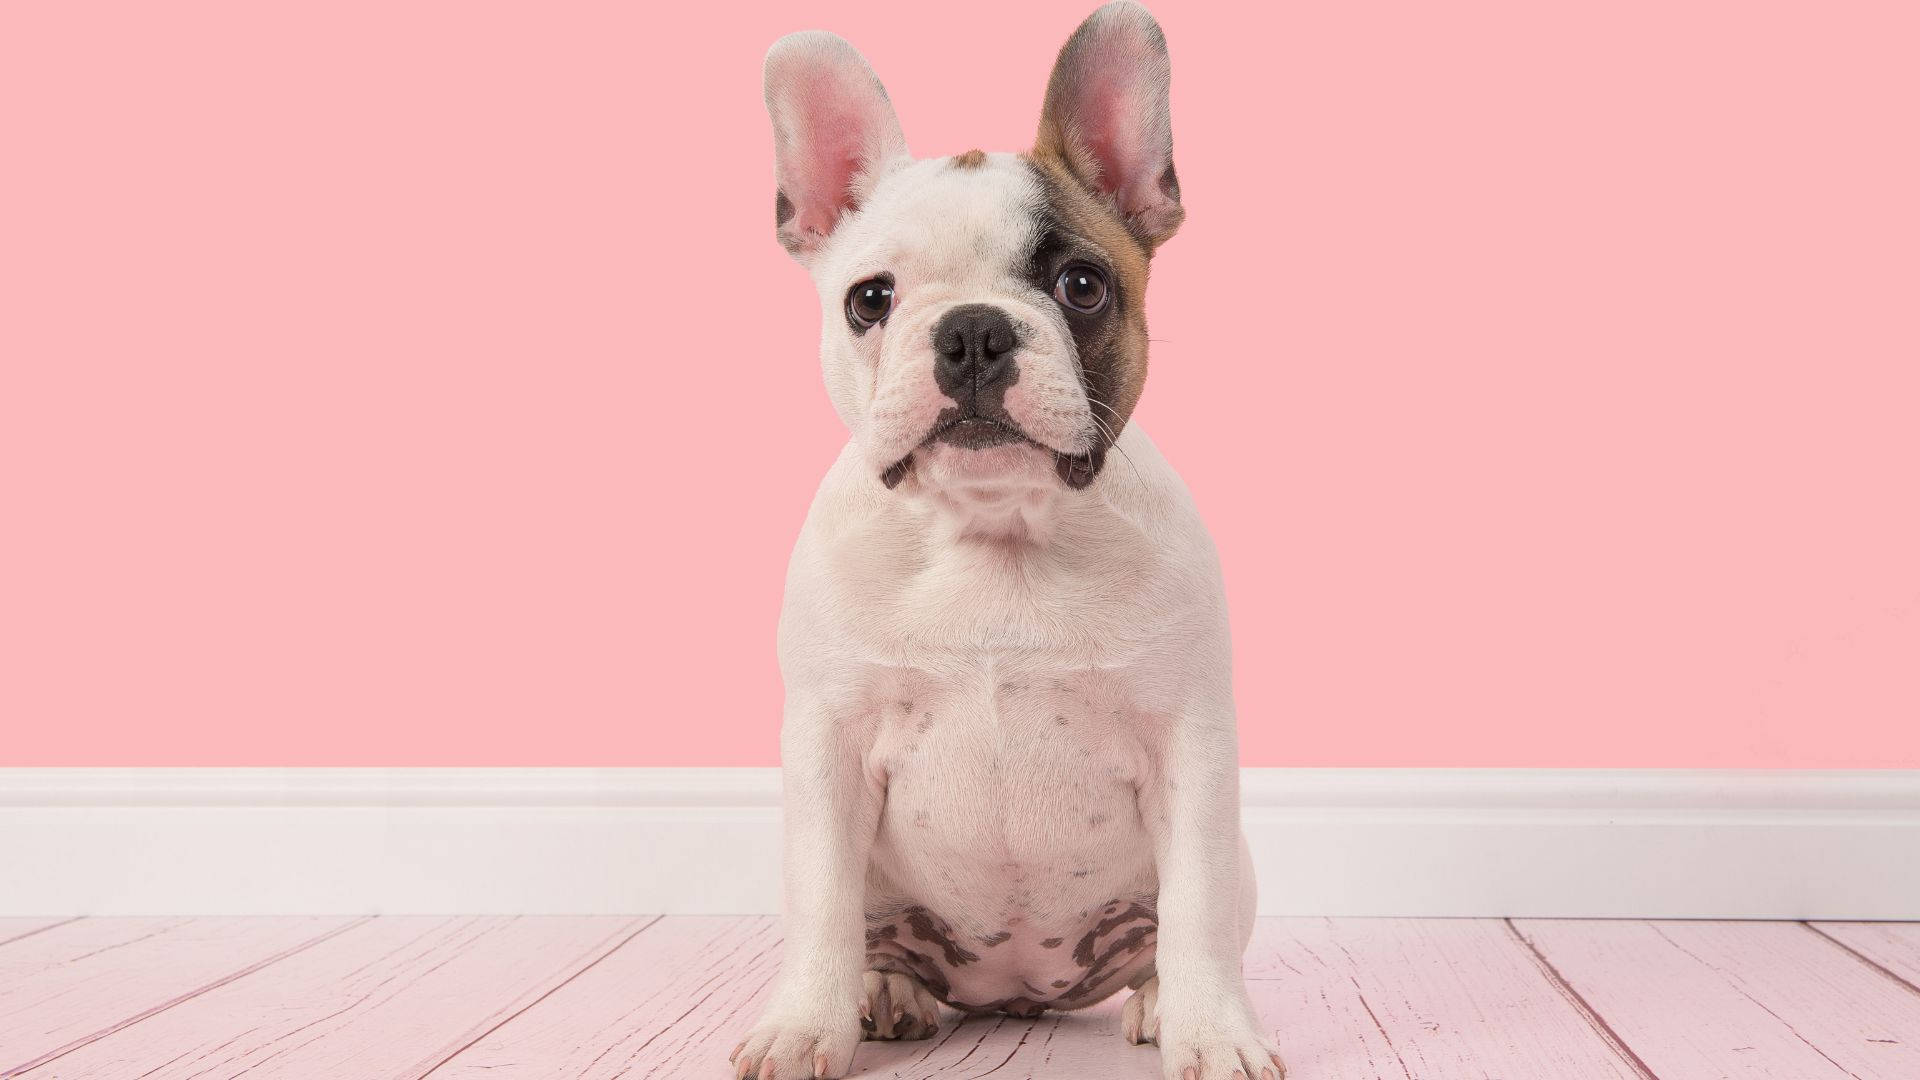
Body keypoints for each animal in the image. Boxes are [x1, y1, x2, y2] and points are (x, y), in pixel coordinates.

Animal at [725, 4, 1282, 1068]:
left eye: (1082, 285)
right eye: (870, 300)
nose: (974, 331)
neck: (996, 535)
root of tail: (1015, 996)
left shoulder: (1189, 747)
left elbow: (1194, 912)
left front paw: (1214, 1036)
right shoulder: (826, 746)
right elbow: (820, 909)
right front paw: (802, 1027)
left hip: (1235, 868)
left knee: (1181, 931)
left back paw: (1160, 1003)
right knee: (871, 936)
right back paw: (885, 992)